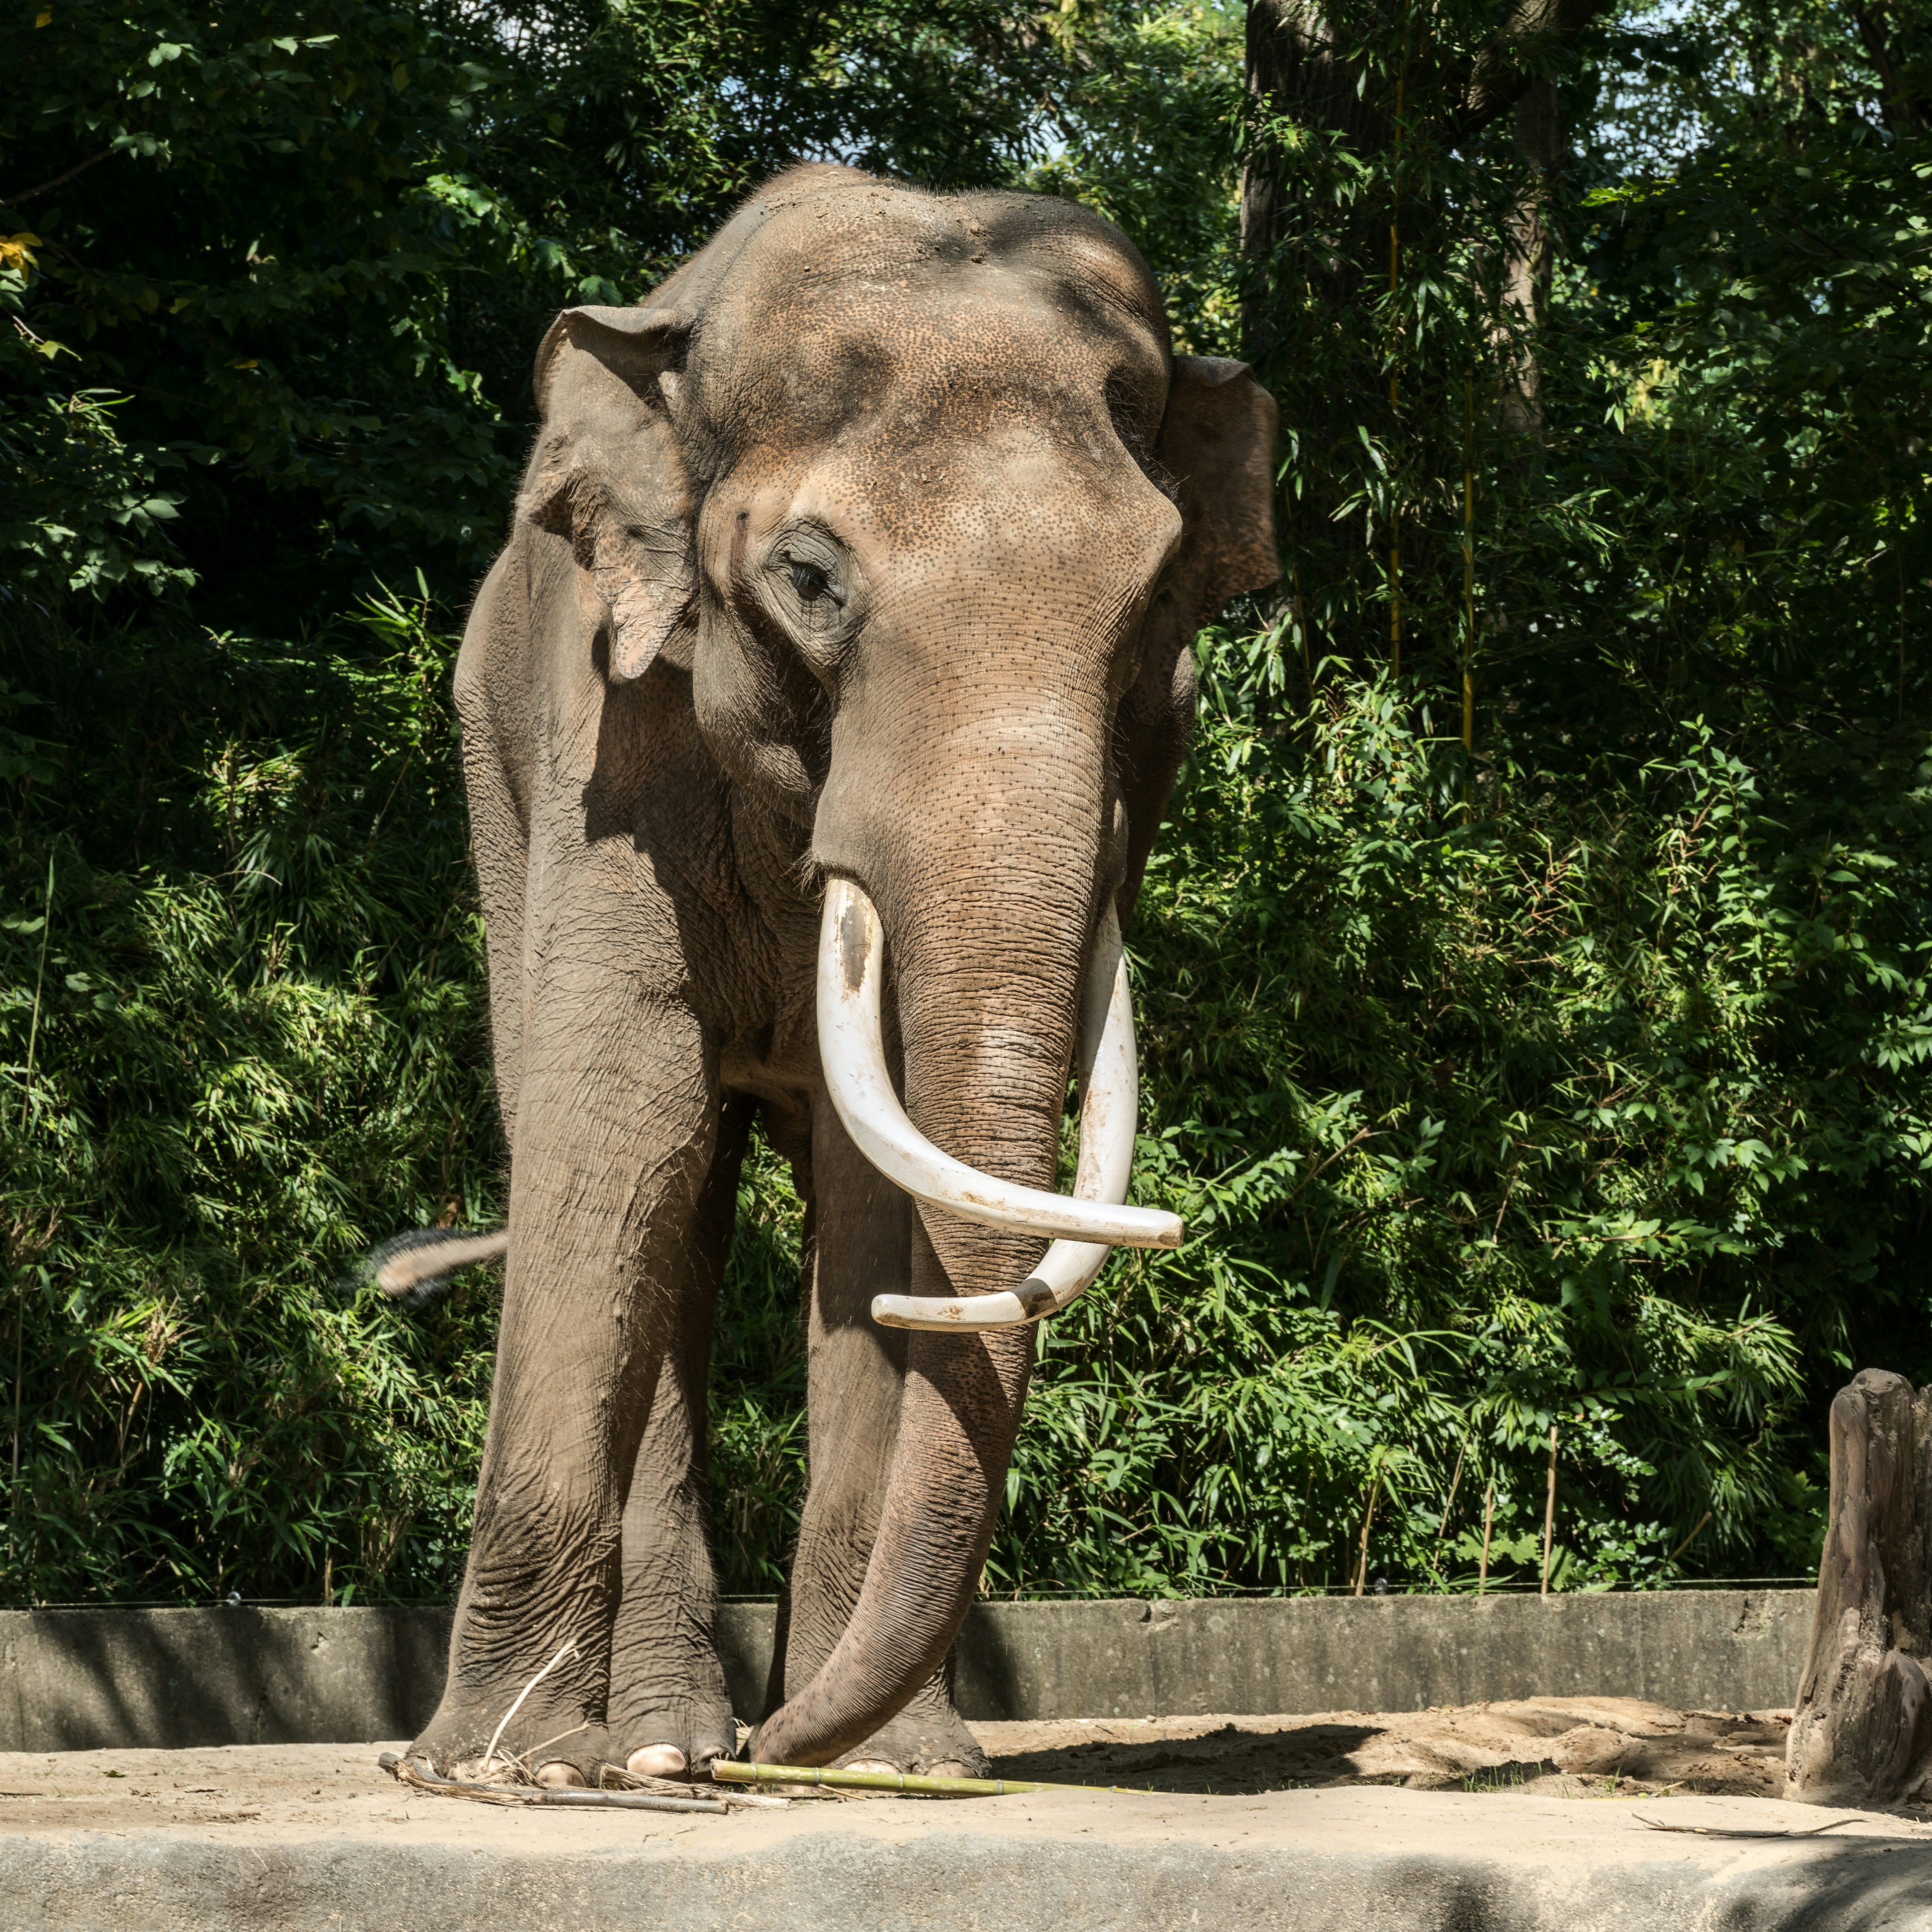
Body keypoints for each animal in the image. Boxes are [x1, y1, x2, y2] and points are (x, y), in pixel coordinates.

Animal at [400, 161, 1277, 1790]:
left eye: (1151, 611)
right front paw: (500, 1768)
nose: (774, 1747)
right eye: (808, 580)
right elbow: (615, 1113)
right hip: (489, 776)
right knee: (656, 1185)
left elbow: (882, 1183)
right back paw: (645, 1749)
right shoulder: (604, 733)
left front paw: (903, 1766)